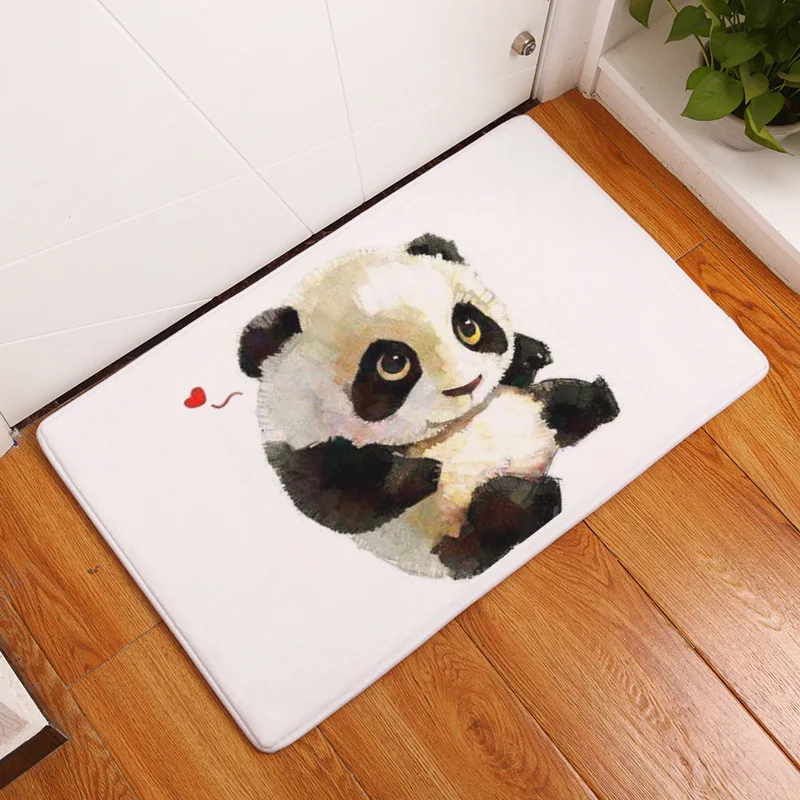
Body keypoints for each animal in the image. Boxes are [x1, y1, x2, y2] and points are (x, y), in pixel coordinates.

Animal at [239, 234, 619, 579]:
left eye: (469, 327)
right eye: (393, 364)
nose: (466, 386)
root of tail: (540, 461)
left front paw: (533, 352)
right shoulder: (299, 450)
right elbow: (348, 502)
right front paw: (424, 471)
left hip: (532, 407)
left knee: (561, 400)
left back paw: (598, 402)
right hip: (448, 543)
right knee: (493, 528)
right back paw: (522, 497)